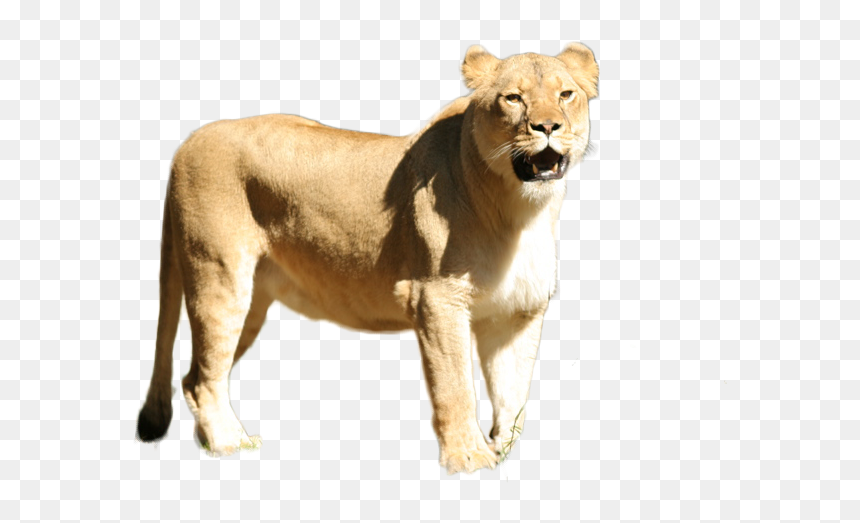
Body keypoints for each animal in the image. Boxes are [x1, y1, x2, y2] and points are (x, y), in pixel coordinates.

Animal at [136, 43, 598, 474]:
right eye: (513, 98)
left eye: (566, 94)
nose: (548, 126)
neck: (520, 211)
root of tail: (187, 143)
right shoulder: (436, 299)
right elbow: (455, 387)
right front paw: (469, 459)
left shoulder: (517, 312)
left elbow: (513, 391)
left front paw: (503, 452)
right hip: (219, 278)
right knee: (203, 380)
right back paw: (230, 444)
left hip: (251, 302)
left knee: (193, 376)